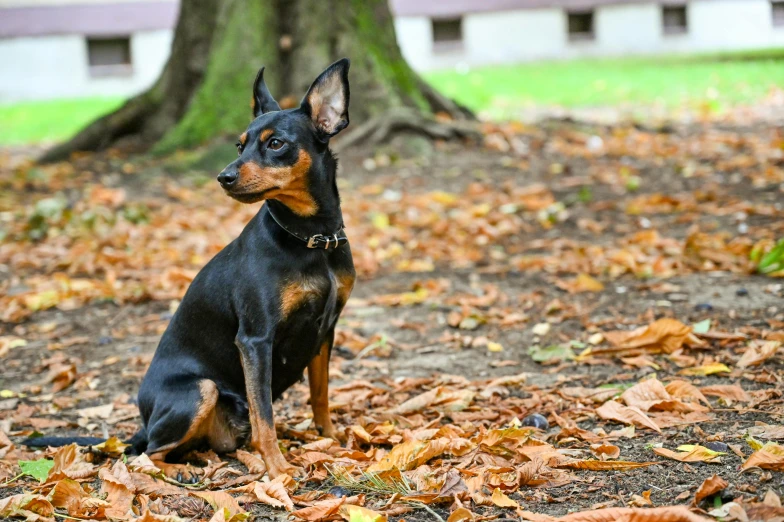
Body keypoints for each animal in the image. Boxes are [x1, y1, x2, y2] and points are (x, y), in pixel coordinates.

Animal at [25, 59, 356, 478]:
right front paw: (279, 468)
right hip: (201, 389)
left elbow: (320, 395)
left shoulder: (325, 332)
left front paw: (331, 438)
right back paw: (176, 471)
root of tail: (143, 425)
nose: (224, 177)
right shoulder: (255, 339)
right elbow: (265, 415)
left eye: (276, 143)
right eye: (239, 145)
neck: (311, 239)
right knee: (145, 454)